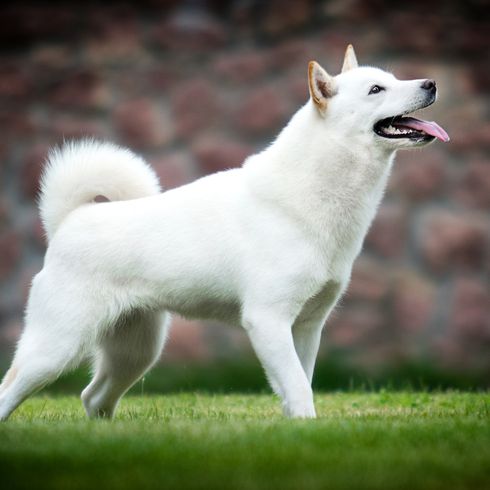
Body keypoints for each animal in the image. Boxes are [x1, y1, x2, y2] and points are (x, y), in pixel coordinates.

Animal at [0, 47, 448, 422]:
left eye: (392, 78)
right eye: (376, 89)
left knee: (93, 398)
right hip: (56, 348)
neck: (310, 198)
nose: (431, 83)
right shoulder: (267, 321)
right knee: (12, 390)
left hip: (136, 352)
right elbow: (299, 389)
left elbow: (299, 384)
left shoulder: (307, 327)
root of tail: (69, 220)